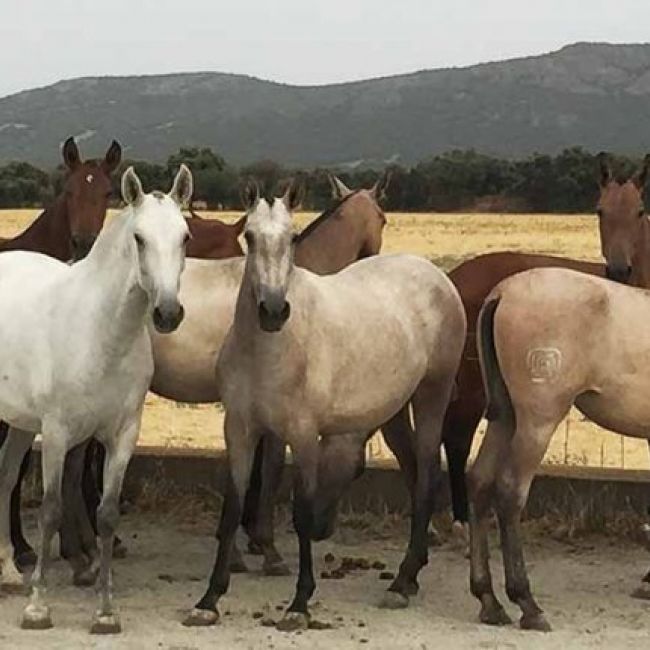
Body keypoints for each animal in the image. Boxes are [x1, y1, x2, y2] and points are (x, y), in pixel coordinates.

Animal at [184, 178, 466, 628]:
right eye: (250, 237)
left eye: (291, 237)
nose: (273, 310)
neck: (269, 348)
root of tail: (435, 276)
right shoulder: (240, 430)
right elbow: (232, 508)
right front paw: (209, 598)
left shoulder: (301, 434)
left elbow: (299, 513)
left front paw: (299, 602)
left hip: (431, 395)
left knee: (425, 474)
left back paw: (402, 581)